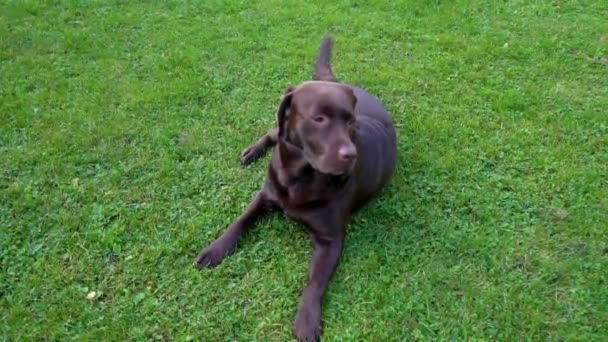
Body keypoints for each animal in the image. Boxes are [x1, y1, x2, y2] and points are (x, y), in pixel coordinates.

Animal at [192, 36, 396, 340]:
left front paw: (307, 318)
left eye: (350, 121)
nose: (350, 154)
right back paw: (252, 151)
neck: (299, 176)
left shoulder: (330, 240)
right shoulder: (265, 195)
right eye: (319, 119)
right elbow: (240, 221)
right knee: (273, 132)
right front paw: (216, 249)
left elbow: (315, 281)